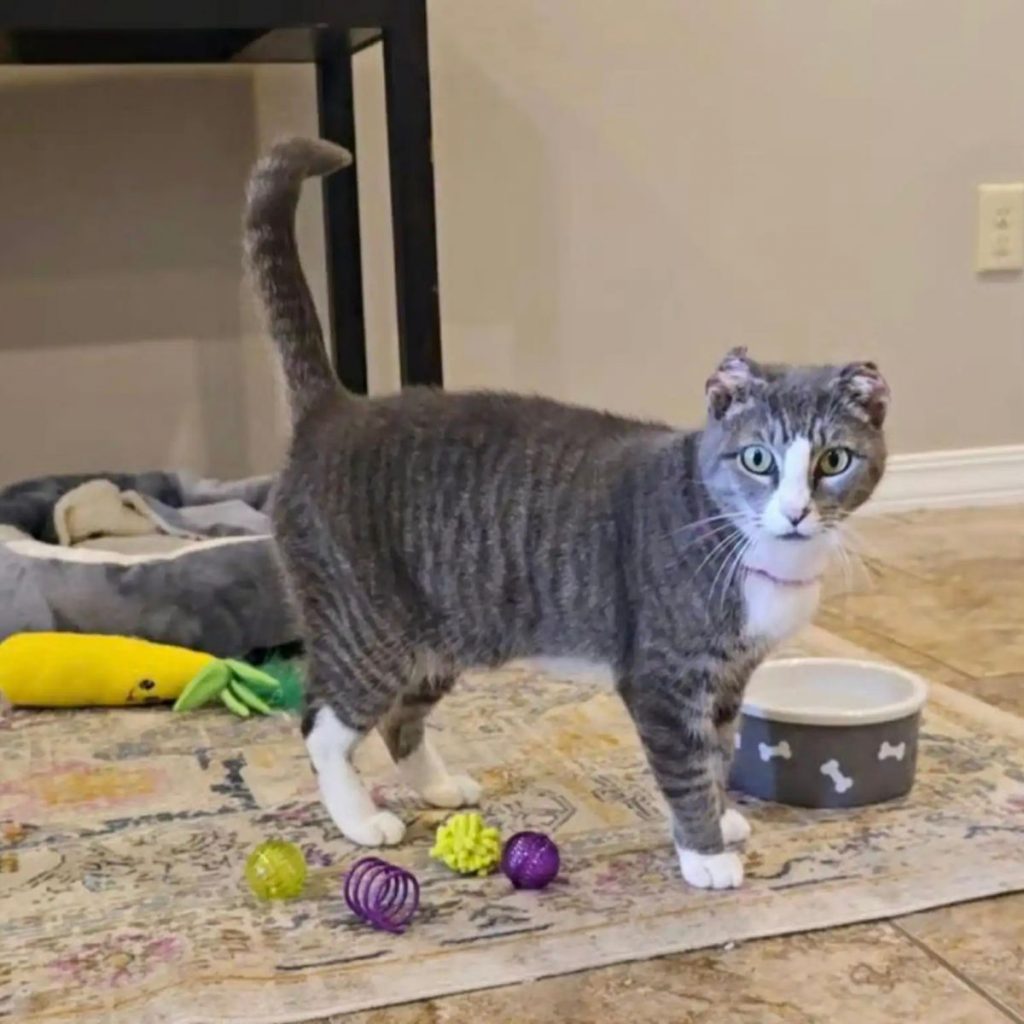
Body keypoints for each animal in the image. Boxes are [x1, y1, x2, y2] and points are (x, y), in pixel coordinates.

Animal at [241, 136, 888, 888]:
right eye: (758, 459)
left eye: (834, 461)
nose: (795, 511)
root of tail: (335, 409)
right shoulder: (663, 679)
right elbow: (687, 766)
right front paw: (704, 853)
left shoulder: (728, 677)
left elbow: (720, 751)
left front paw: (722, 818)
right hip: (366, 628)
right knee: (324, 725)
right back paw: (359, 819)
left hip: (438, 637)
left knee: (400, 719)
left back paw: (438, 787)